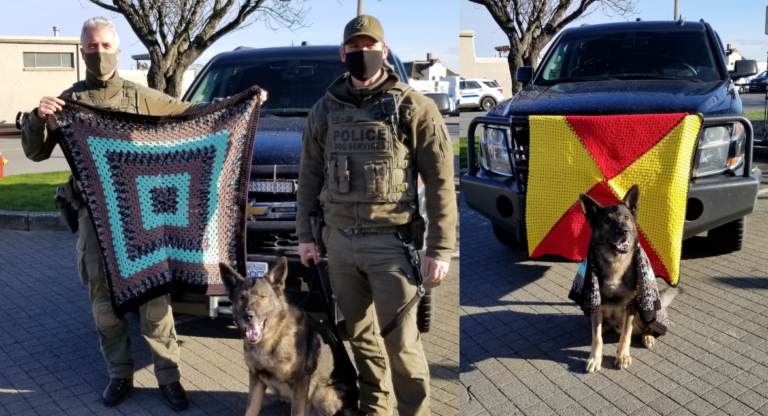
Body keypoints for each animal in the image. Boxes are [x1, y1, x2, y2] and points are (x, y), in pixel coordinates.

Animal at [218, 258, 358, 414]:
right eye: (241, 298)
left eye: (262, 296)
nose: (247, 316)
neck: (272, 339)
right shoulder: (256, 379)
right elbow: (250, 411)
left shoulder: (300, 383)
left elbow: (297, 412)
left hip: (322, 394)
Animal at [568, 185, 680, 374]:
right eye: (607, 221)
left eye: (626, 217)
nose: (623, 231)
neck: (616, 263)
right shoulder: (595, 304)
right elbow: (596, 337)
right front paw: (595, 358)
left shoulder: (631, 306)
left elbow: (625, 335)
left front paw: (623, 356)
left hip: (645, 310)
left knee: (647, 325)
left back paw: (648, 336)